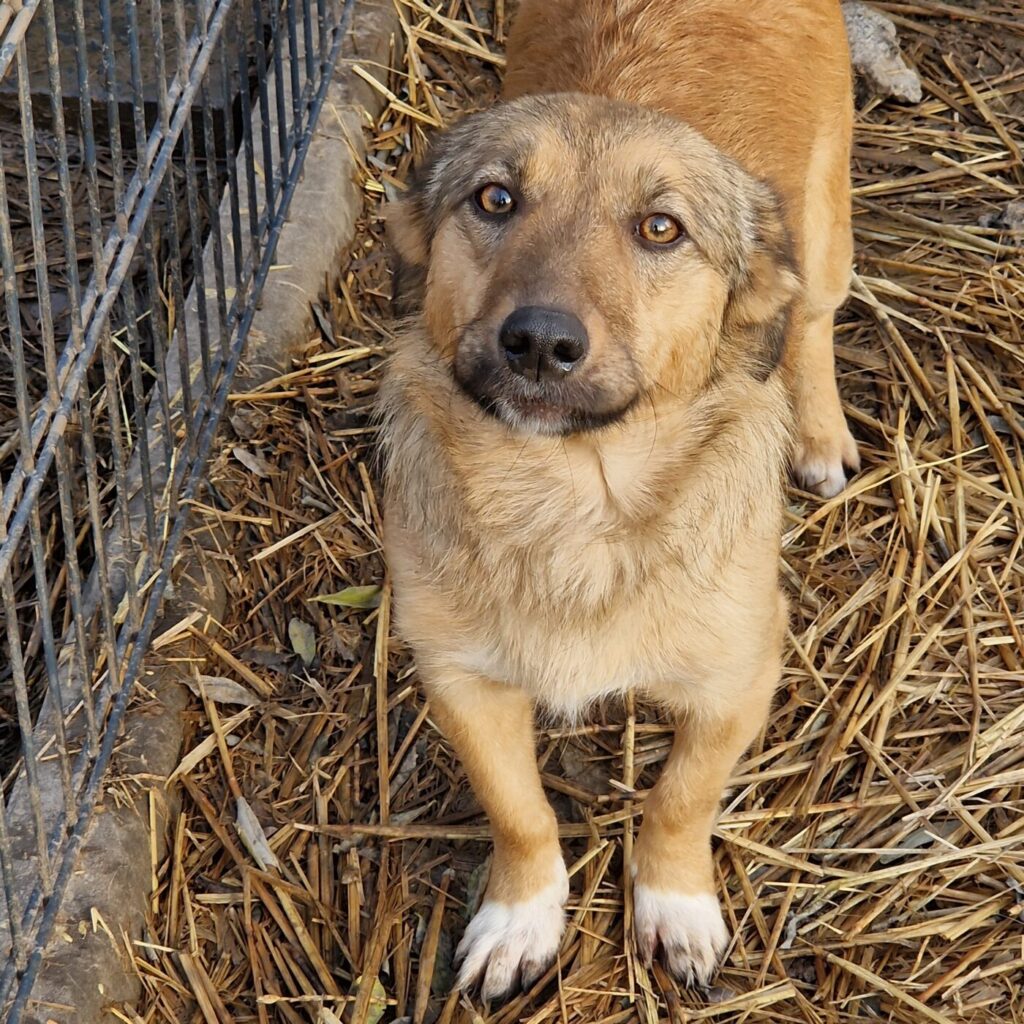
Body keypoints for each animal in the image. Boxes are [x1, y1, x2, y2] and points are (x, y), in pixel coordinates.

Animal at [379, 0, 855, 1000]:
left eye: (661, 228)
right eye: (495, 199)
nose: (538, 342)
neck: (574, 503)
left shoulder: (740, 677)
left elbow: (680, 802)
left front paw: (676, 906)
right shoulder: (461, 677)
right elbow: (520, 813)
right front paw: (520, 918)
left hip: (828, 230)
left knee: (813, 317)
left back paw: (818, 431)